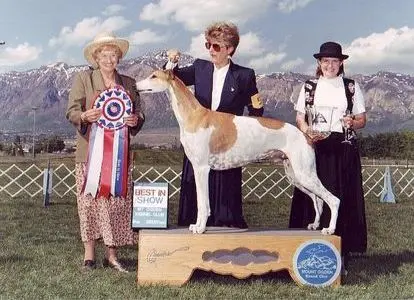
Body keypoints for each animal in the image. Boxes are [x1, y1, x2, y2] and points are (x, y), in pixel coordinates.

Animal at [137, 69, 340, 234]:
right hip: (296, 176)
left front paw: (200, 228)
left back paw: (329, 230)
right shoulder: (197, 168)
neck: (195, 115)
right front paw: (198, 226)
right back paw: (315, 225)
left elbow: (203, 204)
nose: (135, 85)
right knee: (318, 200)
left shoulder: (202, 169)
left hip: (304, 174)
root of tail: (306, 136)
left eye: (153, 76)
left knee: (333, 200)